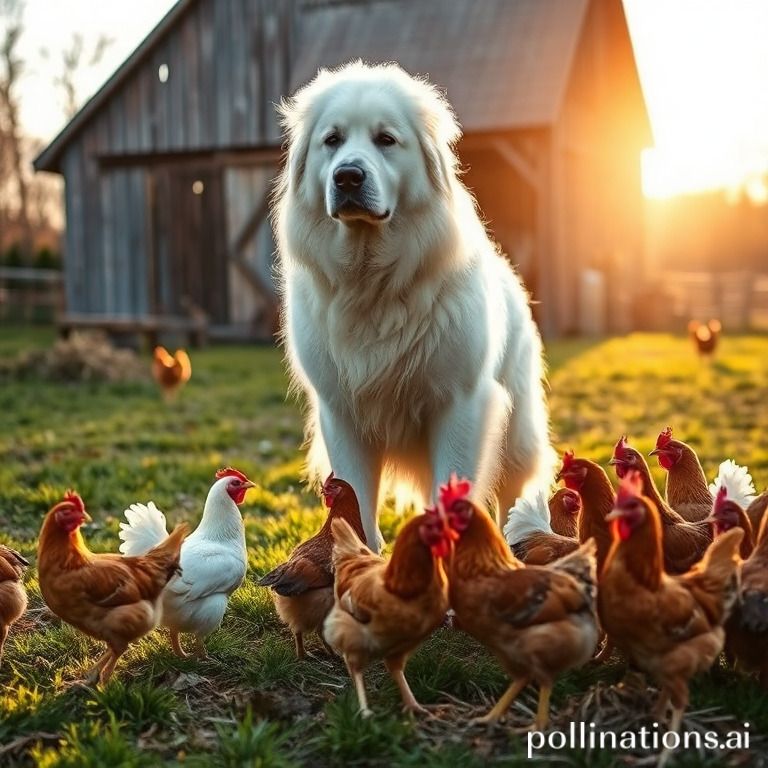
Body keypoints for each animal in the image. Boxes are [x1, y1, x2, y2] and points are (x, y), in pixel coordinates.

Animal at [272, 61, 556, 552]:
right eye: (332, 140)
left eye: (386, 139)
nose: (347, 176)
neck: (371, 282)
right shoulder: (341, 414)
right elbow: (355, 501)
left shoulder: (460, 404)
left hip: (518, 432)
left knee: (513, 490)